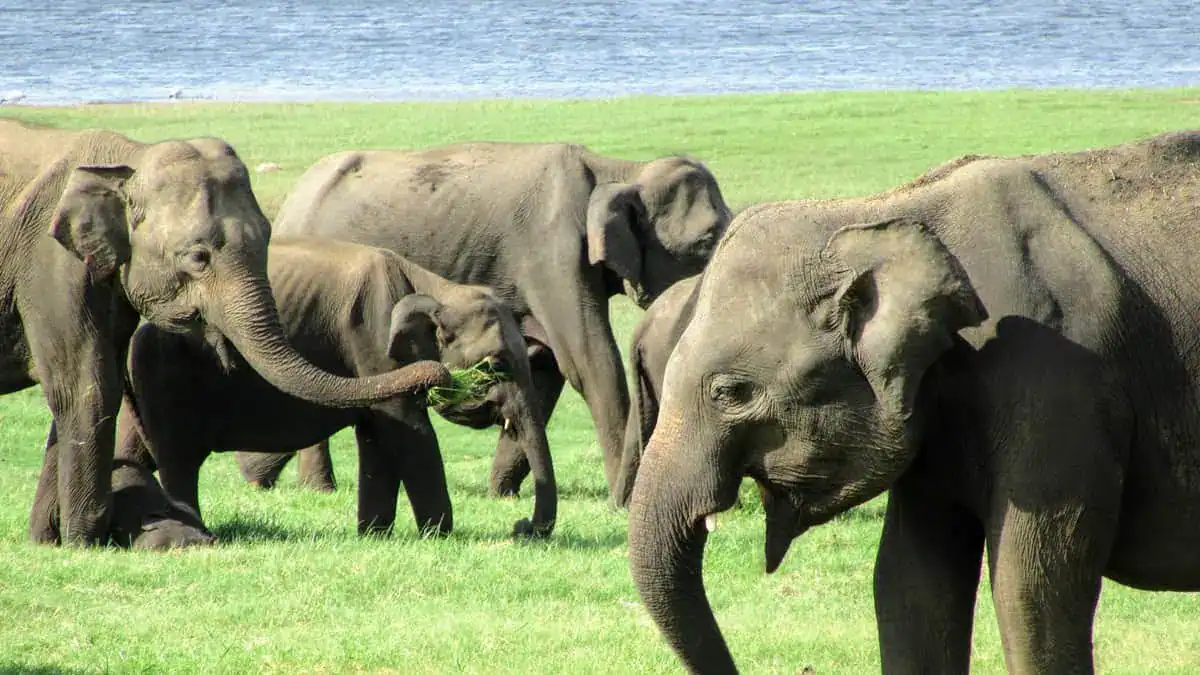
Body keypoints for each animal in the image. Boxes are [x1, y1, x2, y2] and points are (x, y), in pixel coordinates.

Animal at [0, 119, 448, 546]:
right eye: (198, 256)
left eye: (267, 238)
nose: (439, 371)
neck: (129, 158)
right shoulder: (50, 265)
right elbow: (83, 386)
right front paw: (82, 542)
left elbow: (86, 382)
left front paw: (47, 542)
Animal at [119, 235, 556, 539]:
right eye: (497, 365)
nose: (521, 526)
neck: (436, 286)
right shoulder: (373, 341)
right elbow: (409, 431)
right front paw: (440, 536)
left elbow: (377, 437)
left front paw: (376, 536)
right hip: (165, 375)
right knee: (179, 460)